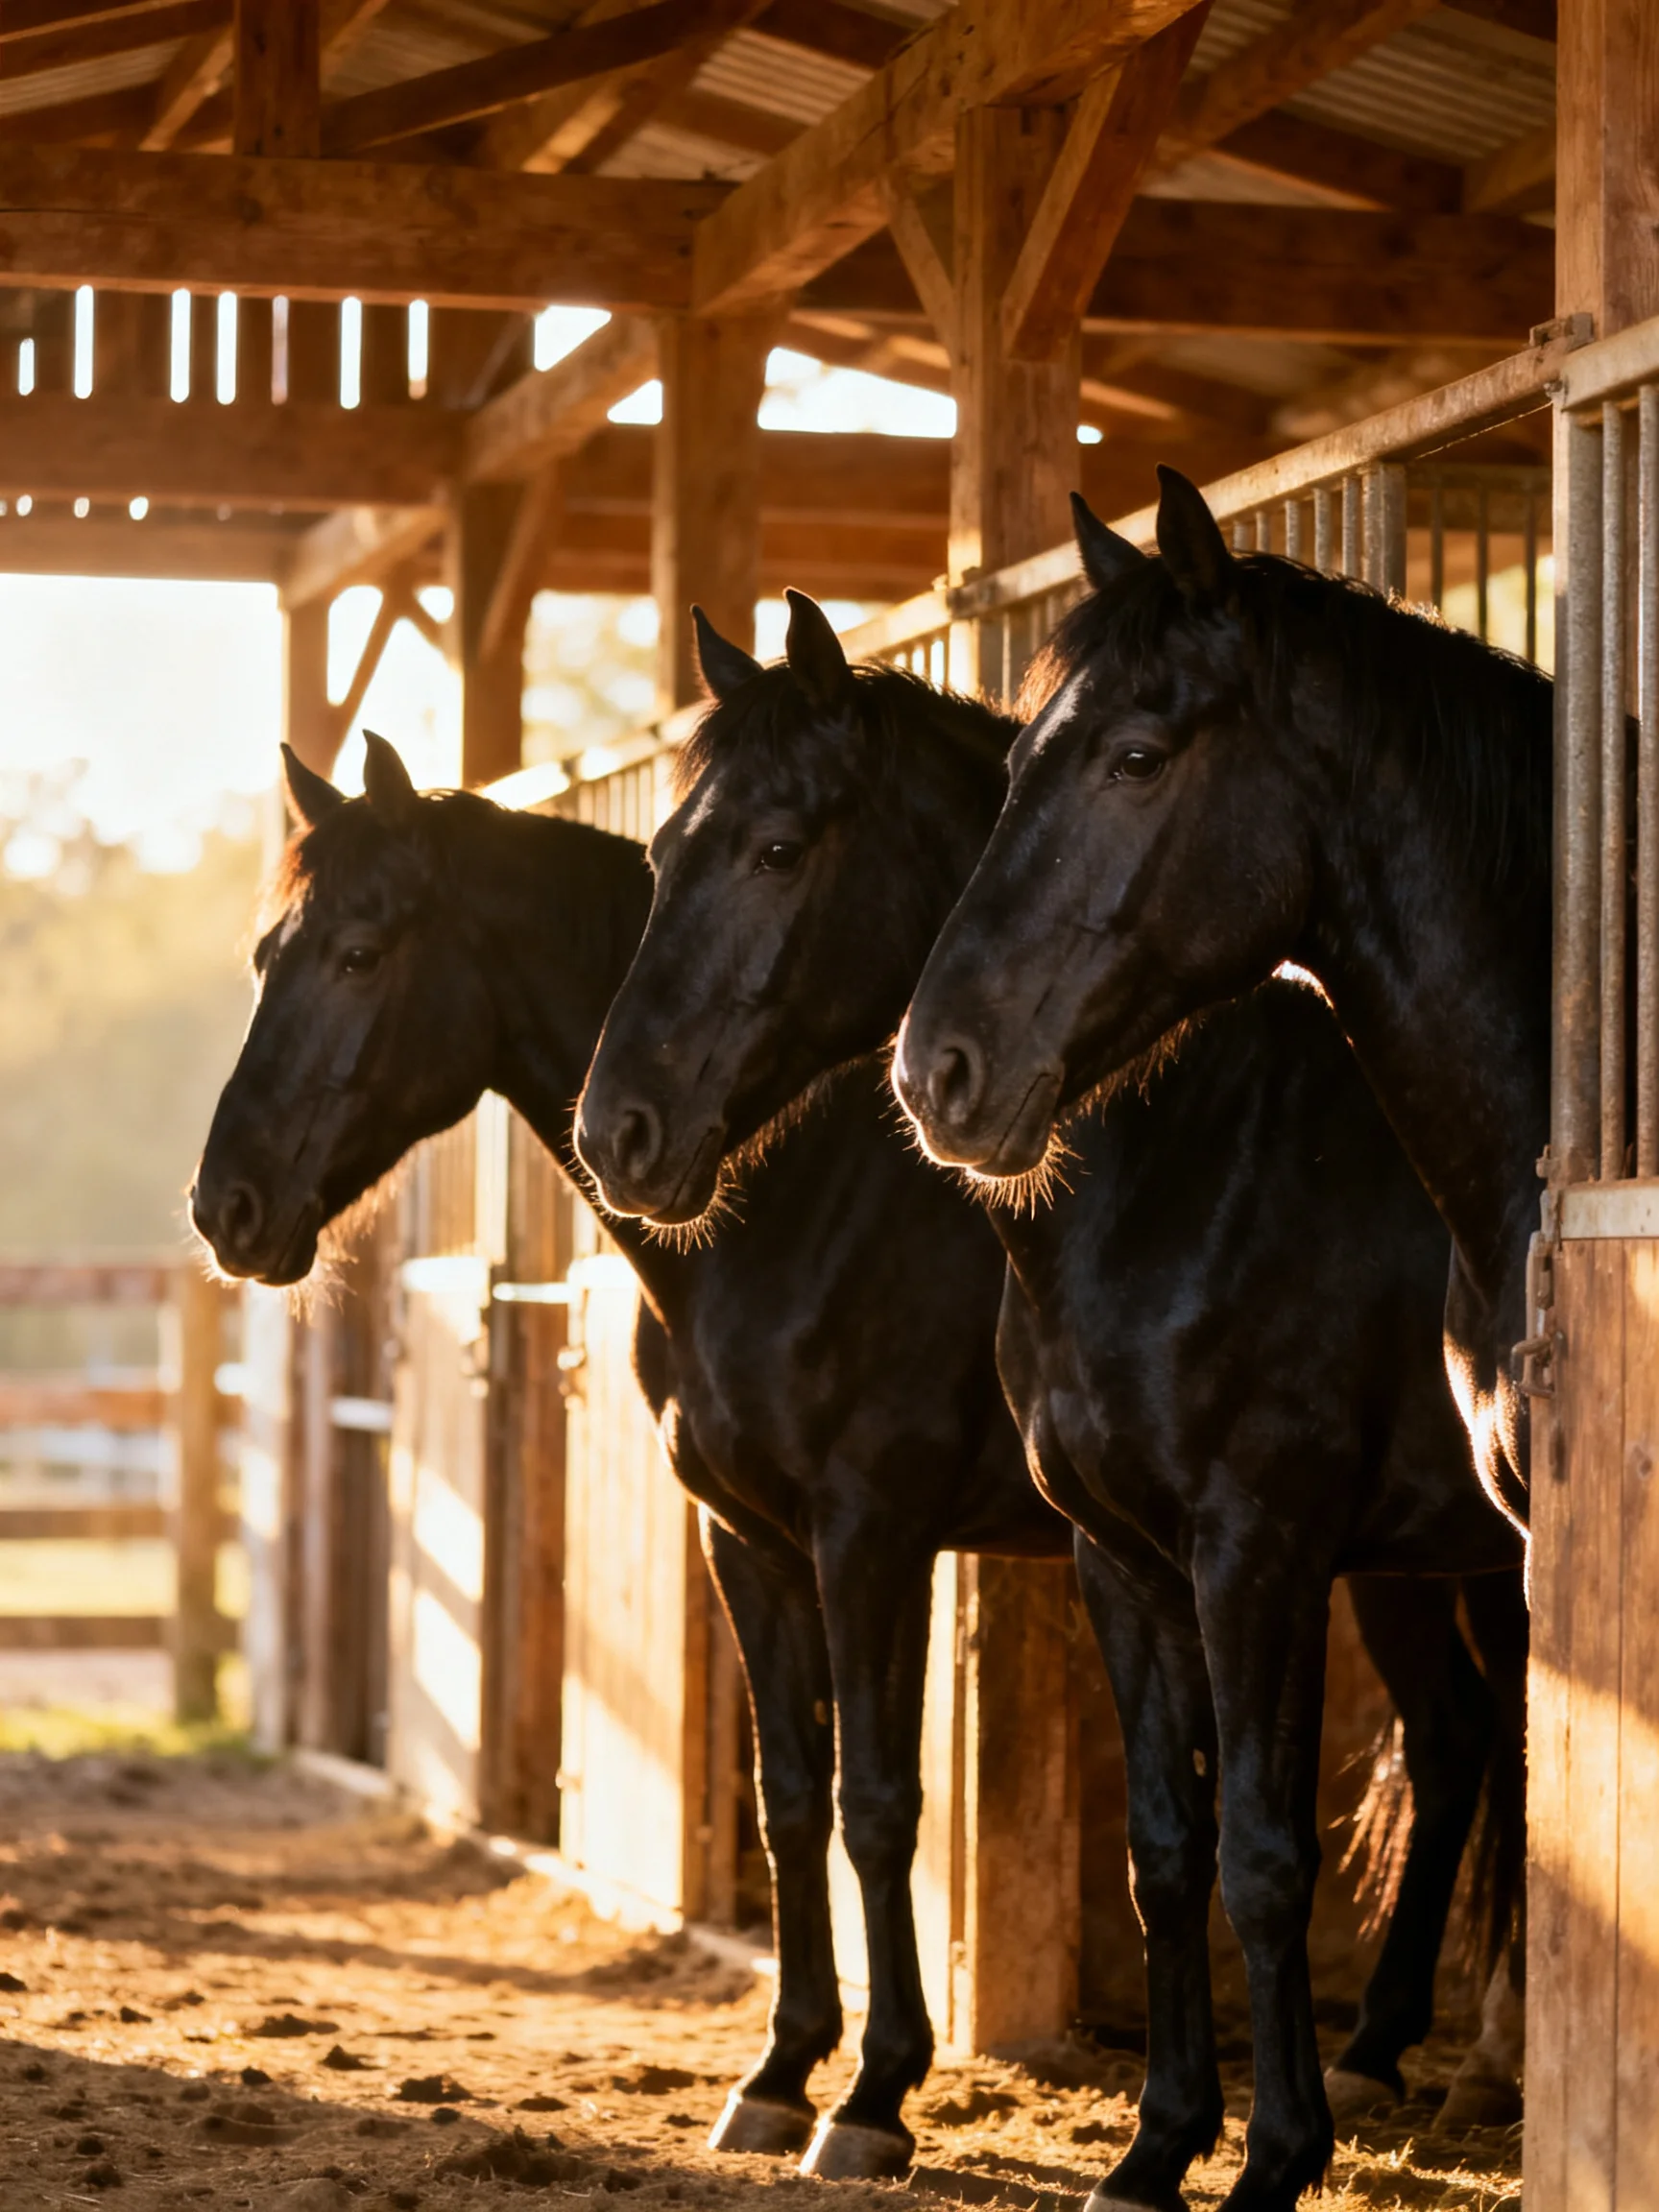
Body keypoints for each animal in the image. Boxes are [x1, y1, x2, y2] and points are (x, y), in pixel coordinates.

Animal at [573, 596, 1529, 2212]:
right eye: (658, 858)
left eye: (778, 847)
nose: (617, 1131)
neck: (1195, 1168)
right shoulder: (1117, 1556)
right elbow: (1165, 1846)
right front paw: (1155, 2152)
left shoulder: (1245, 1552)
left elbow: (1255, 1850)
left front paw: (1262, 2161)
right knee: (1474, 1753)